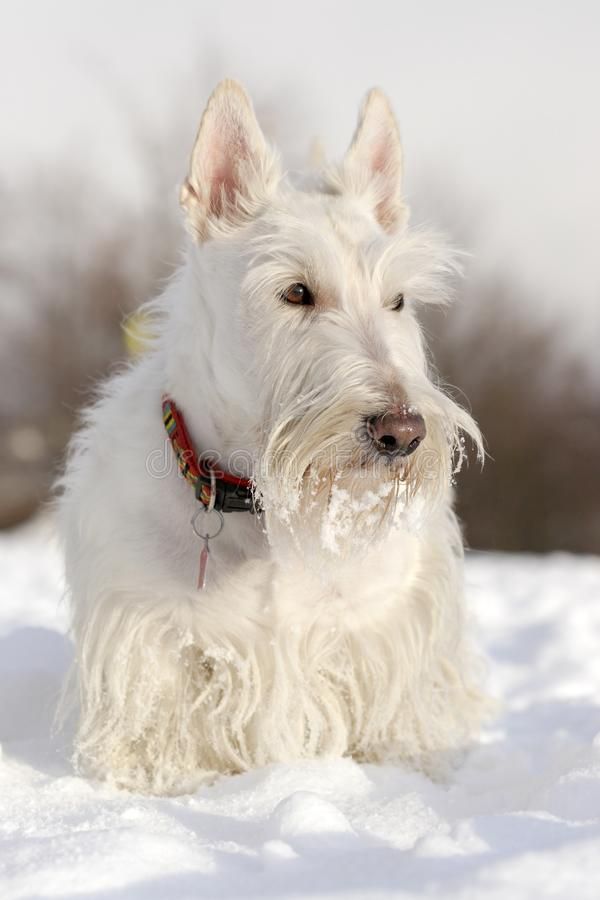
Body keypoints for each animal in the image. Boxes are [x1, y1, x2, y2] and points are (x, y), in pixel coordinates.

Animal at [57, 81, 488, 792]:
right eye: (296, 292)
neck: (262, 508)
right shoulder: (151, 629)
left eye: (398, 300)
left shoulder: (379, 623)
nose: (402, 431)